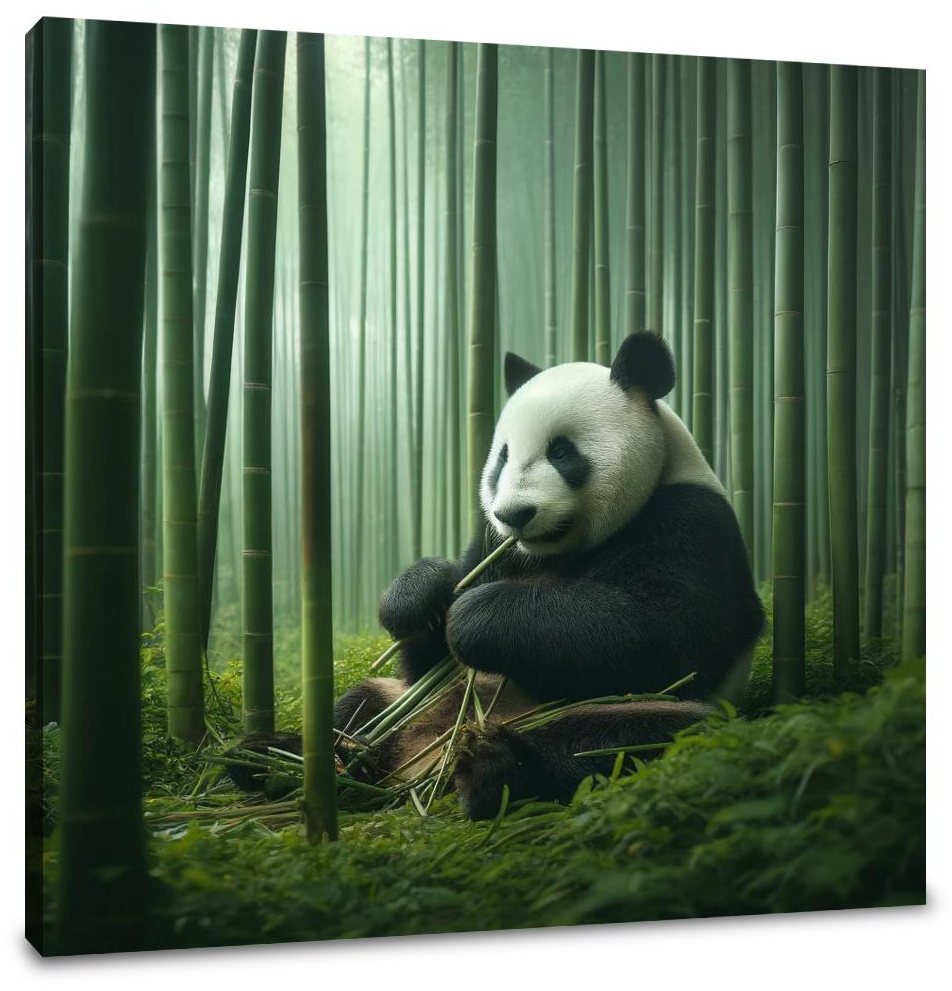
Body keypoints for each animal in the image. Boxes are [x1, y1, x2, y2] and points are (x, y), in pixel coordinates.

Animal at [326, 330, 765, 820]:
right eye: (502, 458)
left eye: (561, 451)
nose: (514, 515)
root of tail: (425, 756)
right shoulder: (492, 545)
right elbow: (425, 658)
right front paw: (422, 598)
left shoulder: (690, 522)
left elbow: (667, 639)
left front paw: (476, 616)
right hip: (417, 702)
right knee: (363, 705)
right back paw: (328, 759)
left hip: (624, 717)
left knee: (629, 738)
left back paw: (492, 770)